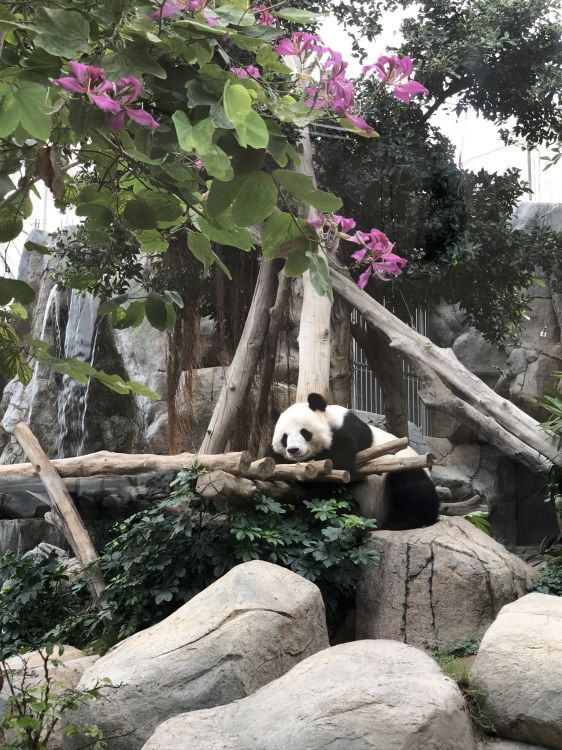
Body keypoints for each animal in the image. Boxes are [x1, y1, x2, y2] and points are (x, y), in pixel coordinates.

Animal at [268, 392, 440, 530]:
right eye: (284, 438)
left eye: (305, 432)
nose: (293, 450)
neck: (330, 418)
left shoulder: (349, 432)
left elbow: (336, 465)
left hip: (401, 466)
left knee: (411, 486)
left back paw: (401, 522)